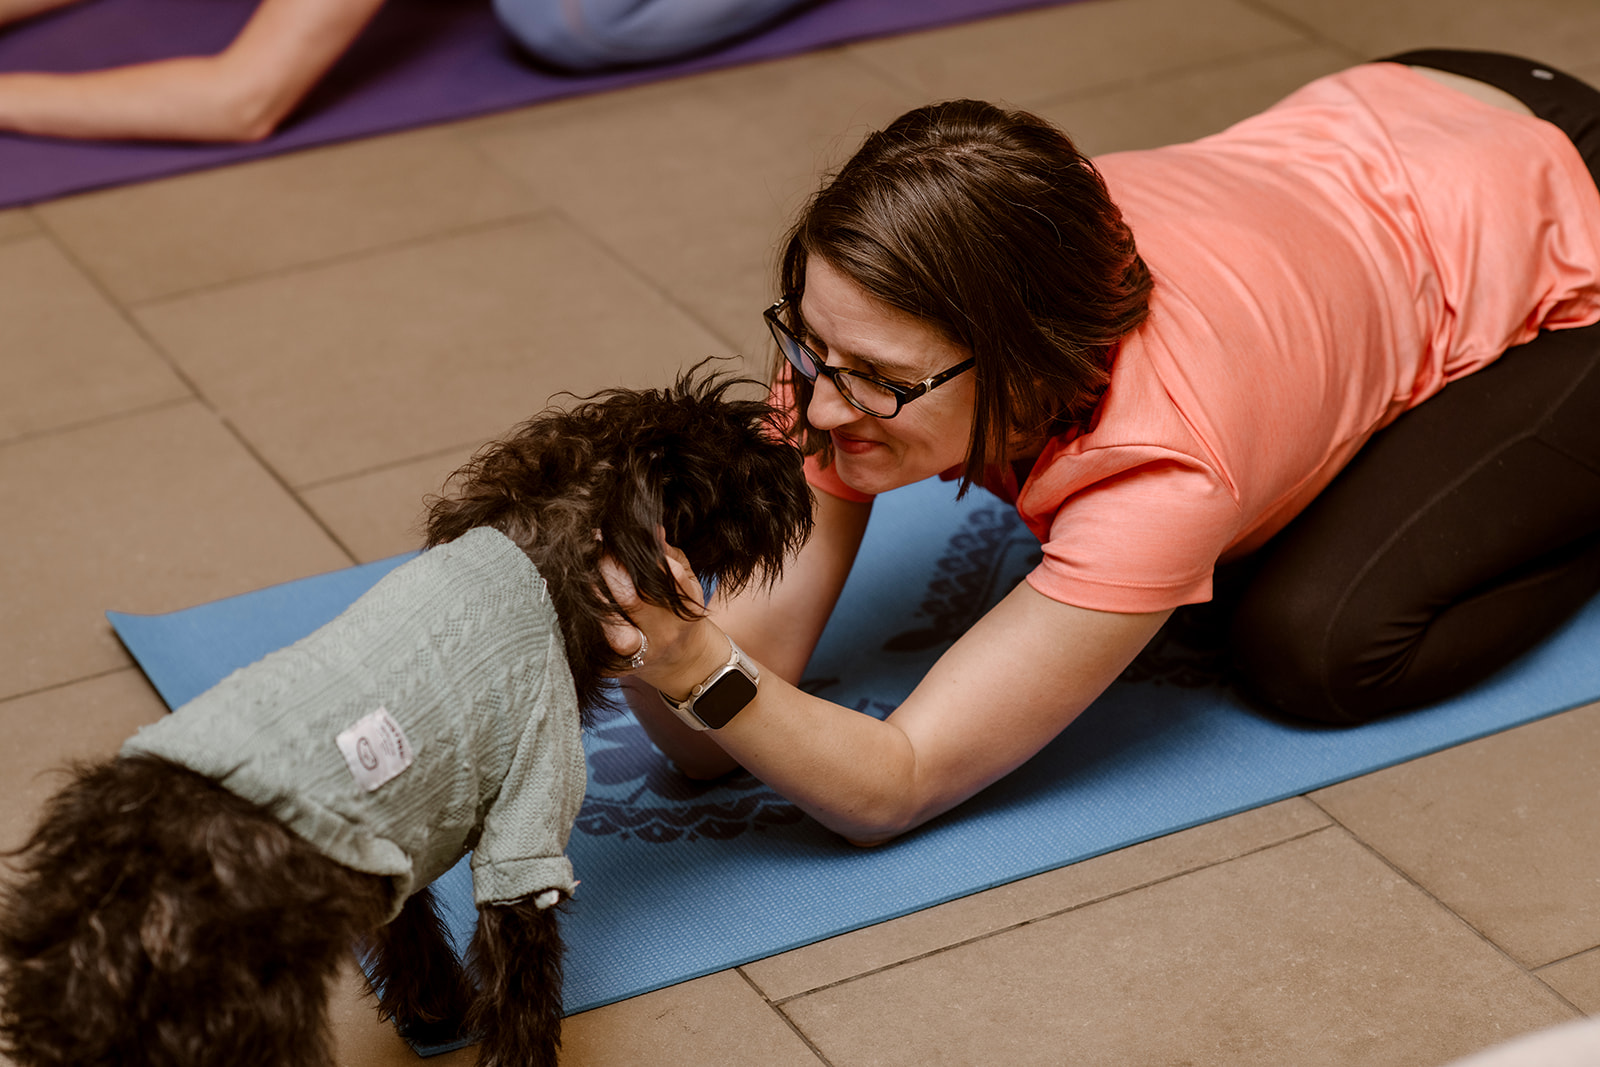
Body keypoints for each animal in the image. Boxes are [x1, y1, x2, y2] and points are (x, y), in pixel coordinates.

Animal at [0, 369, 812, 1067]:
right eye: (739, 451)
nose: (796, 464)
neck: (538, 541)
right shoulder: (525, 824)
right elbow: (521, 980)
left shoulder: (400, 842)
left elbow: (412, 932)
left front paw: (433, 1010)